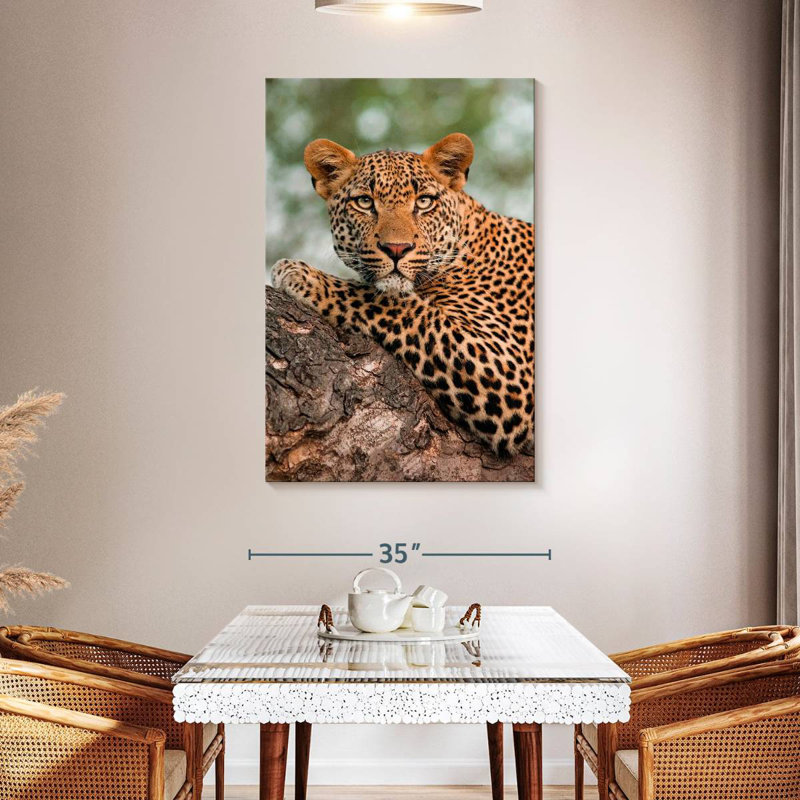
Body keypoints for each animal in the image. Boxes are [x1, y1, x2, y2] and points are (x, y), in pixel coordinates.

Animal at [271, 132, 534, 458]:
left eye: (424, 202)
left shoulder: (509, 373)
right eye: (364, 202)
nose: (397, 249)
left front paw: (303, 275)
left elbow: (396, 306)